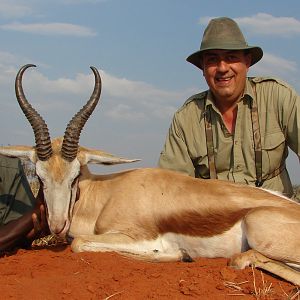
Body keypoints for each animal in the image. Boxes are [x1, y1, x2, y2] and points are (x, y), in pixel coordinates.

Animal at [0, 64, 300, 284]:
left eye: (75, 176)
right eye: (40, 178)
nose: (57, 225)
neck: (105, 196)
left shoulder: (134, 236)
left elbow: (80, 243)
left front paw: (175, 255)